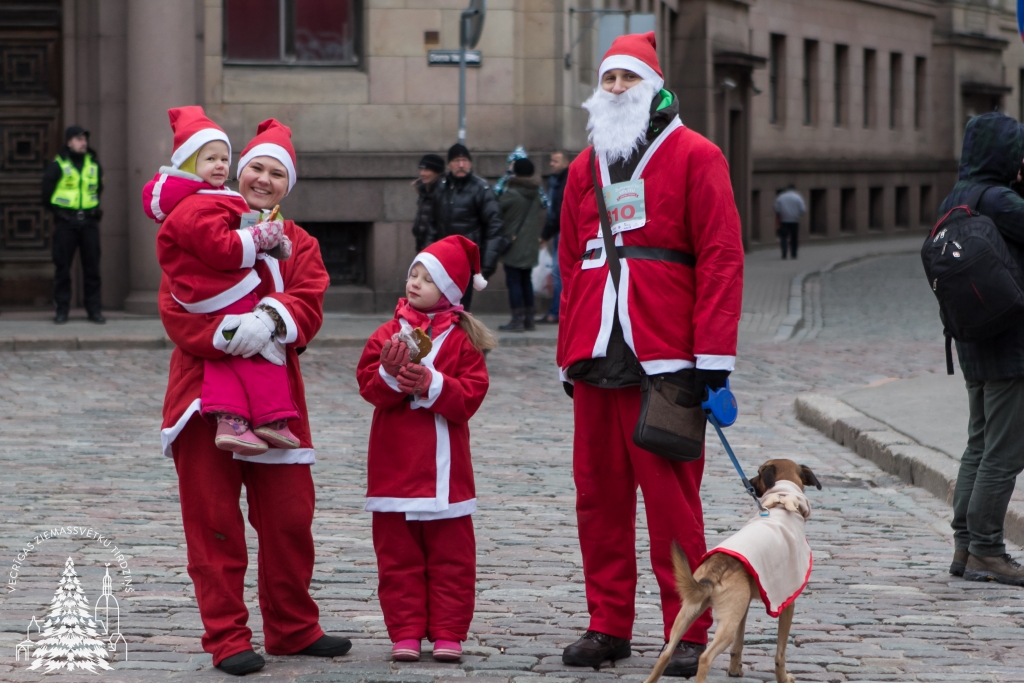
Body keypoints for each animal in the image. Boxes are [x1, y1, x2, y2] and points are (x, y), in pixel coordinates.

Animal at [647, 458, 823, 683]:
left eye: (759, 473)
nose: (749, 483)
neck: (782, 500)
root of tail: (717, 568)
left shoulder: (744, 607)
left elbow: (738, 644)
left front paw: (734, 670)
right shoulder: (787, 603)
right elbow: (780, 653)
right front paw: (783, 678)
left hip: (689, 612)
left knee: (666, 655)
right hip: (726, 623)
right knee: (705, 658)